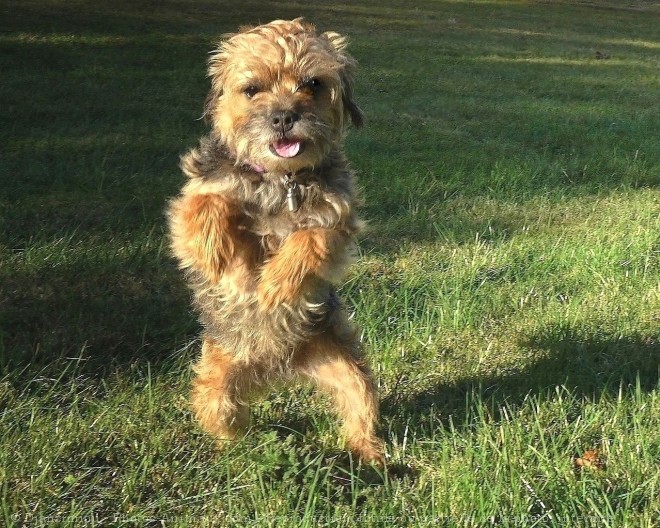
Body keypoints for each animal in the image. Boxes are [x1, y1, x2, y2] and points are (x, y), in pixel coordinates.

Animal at [166, 16, 382, 464]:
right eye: (252, 89)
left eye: (313, 84)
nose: (284, 117)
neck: (280, 180)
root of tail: (276, 367)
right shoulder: (192, 200)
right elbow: (205, 204)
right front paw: (214, 251)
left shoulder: (339, 222)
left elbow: (312, 238)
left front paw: (276, 285)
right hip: (218, 376)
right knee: (221, 412)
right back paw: (235, 443)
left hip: (347, 366)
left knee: (360, 403)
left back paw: (372, 454)